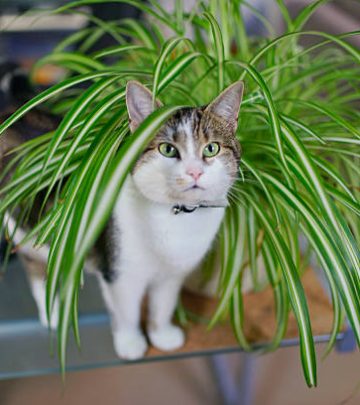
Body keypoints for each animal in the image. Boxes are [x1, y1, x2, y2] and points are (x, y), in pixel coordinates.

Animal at [0, 64, 245, 360]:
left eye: (211, 148)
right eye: (167, 149)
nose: (194, 172)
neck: (176, 219)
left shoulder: (172, 275)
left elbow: (163, 306)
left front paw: (162, 335)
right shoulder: (120, 273)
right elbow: (127, 312)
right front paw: (130, 343)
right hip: (25, 234)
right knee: (36, 271)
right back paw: (53, 315)